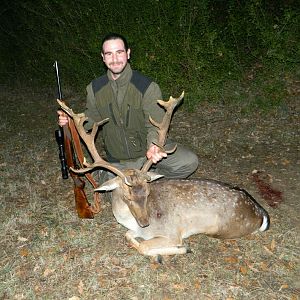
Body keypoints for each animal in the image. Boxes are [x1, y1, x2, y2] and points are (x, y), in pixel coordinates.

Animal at [58, 92, 270, 258]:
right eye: (127, 196)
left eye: (147, 192)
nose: (145, 223)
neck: (131, 222)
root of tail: (261, 214)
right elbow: (128, 236)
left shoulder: (171, 231)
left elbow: (145, 245)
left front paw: (181, 249)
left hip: (224, 229)